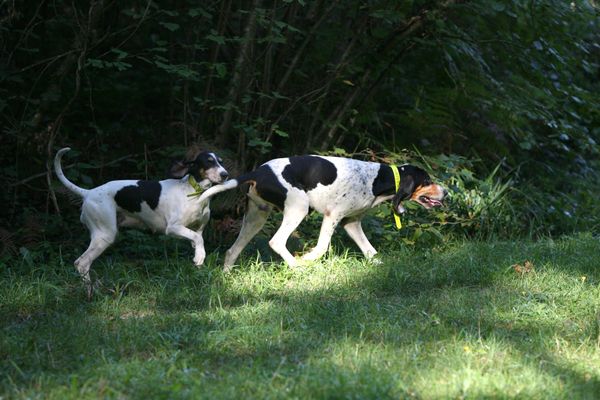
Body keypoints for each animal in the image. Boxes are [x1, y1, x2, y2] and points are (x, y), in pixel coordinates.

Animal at [54, 148, 230, 296]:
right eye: (209, 161)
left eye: (220, 161)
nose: (225, 174)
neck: (193, 191)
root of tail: (88, 193)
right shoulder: (173, 228)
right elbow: (198, 238)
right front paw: (200, 257)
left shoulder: (197, 229)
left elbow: (197, 239)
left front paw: (199, 256)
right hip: (104, 236)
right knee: (82, 262)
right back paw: (90, 292)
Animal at [196, 155, 446, 270]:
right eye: (427, 181)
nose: (446, 193)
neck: (376, 179)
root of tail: (257, 172)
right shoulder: (332, 217)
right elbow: (321, 248)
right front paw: (306, 259)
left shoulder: (351, 223)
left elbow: (370, 251)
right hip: (298, 208)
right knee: (276, 242)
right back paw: (296, 267)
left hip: (255, 219)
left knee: (232, 250)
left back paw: (226, 275)